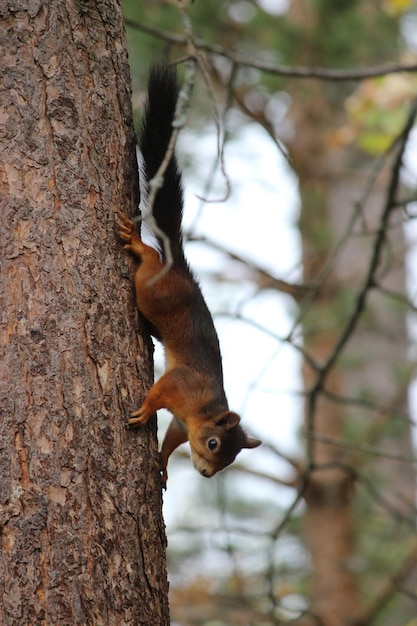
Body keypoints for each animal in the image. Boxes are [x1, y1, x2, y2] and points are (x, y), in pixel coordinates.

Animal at [117, 63, 260, 486]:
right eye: (214, 444)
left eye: (231, 458)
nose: (208, 474)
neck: (203, 412)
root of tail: (179, 268)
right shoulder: (180, 385)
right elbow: (157, 392)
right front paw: (145, 411)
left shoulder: (182, 425)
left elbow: (171, 440)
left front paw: (163, 463)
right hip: (152, 288)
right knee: (150, 260)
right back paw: (139, 245)